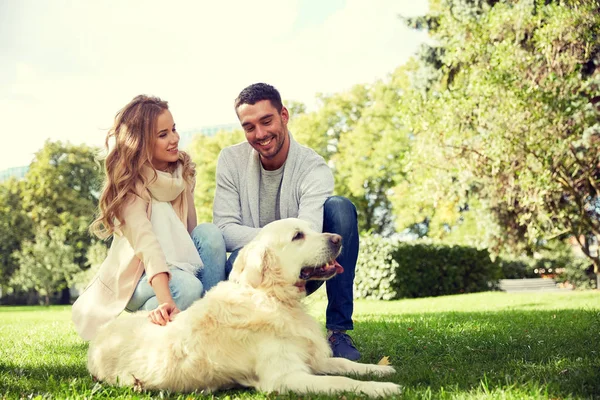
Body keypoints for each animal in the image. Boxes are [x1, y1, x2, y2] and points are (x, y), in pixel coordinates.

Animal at [86, 219, 400, 396]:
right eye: (298, 236)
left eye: (313, 229)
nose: (338, 238)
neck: (272, 298)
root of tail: (100, 334)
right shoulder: (285, 377)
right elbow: (342, 381)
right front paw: (382, 389)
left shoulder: (313, 359)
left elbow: (345, 365)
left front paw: (380, 370)